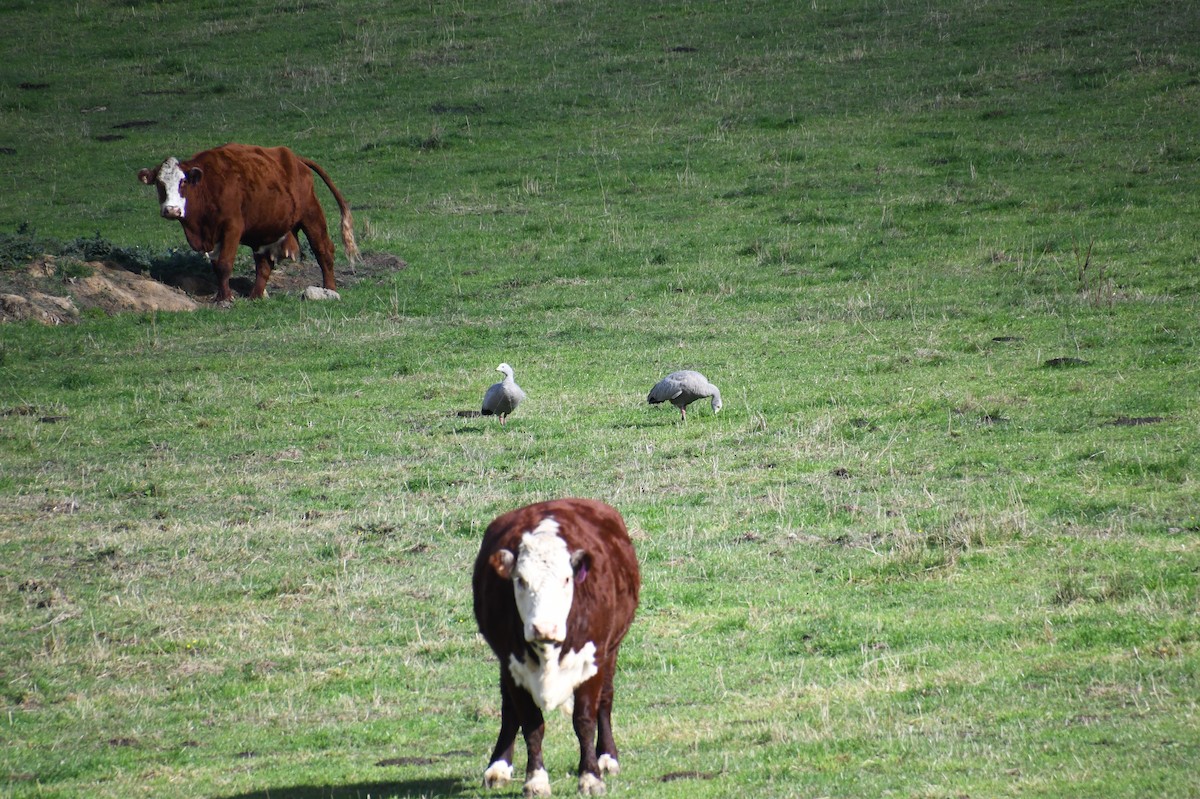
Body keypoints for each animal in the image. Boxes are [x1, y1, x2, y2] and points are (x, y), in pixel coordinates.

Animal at [138, 143, 357, 302]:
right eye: (159, 184)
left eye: (183, 182)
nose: (171, 210)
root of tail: (295, 159)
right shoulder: (213, 235)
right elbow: (217, 265)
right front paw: (223, 294)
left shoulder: (232, 227)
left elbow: (225, 264)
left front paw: (225, 298)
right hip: (264, 232)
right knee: (264, 265)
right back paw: (255, 296)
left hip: (311, 214)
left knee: (323, 250)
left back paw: (330, 289)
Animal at [470, 494, 643, 791]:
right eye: (520, 580)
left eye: (566, 578)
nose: (543, 627)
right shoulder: (513, 665)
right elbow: (531, 724)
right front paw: (536, 780)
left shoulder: (591, 661)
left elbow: (584, 720)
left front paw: (590, 776)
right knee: (509, 711)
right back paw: (498, 766)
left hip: (611, 651)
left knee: (606, 699)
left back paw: (607, 757)